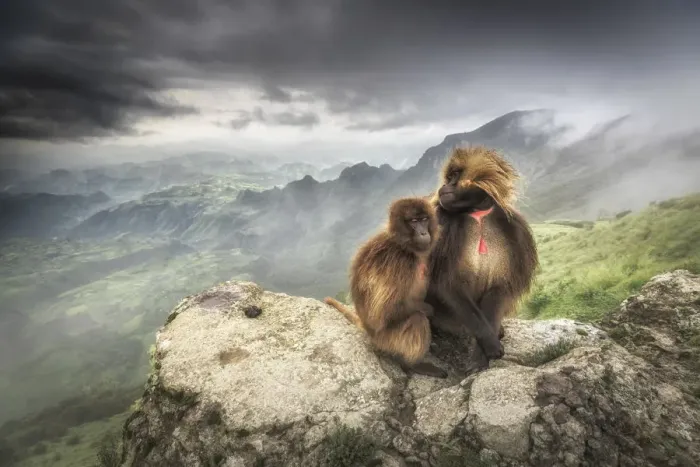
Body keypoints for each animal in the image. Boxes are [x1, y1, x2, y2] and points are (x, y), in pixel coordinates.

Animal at [324, 197, 448, 378]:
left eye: (424, 219)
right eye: (414, 221)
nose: (424, 233)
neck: (401, 244)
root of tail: (369, 332)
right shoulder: (400, 263)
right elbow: (385, 312)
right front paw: (431, 311)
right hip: (388, 340)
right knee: (417, 319)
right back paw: (412, 364)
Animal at [426, 145, 539, 372]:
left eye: (455, 176)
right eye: (449, 177)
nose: (444, 186)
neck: (477, 214)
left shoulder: (515, 230)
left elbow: (499, 289)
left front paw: (481, 355)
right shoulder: (441, 225)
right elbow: (447, 285)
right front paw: (489, 346)